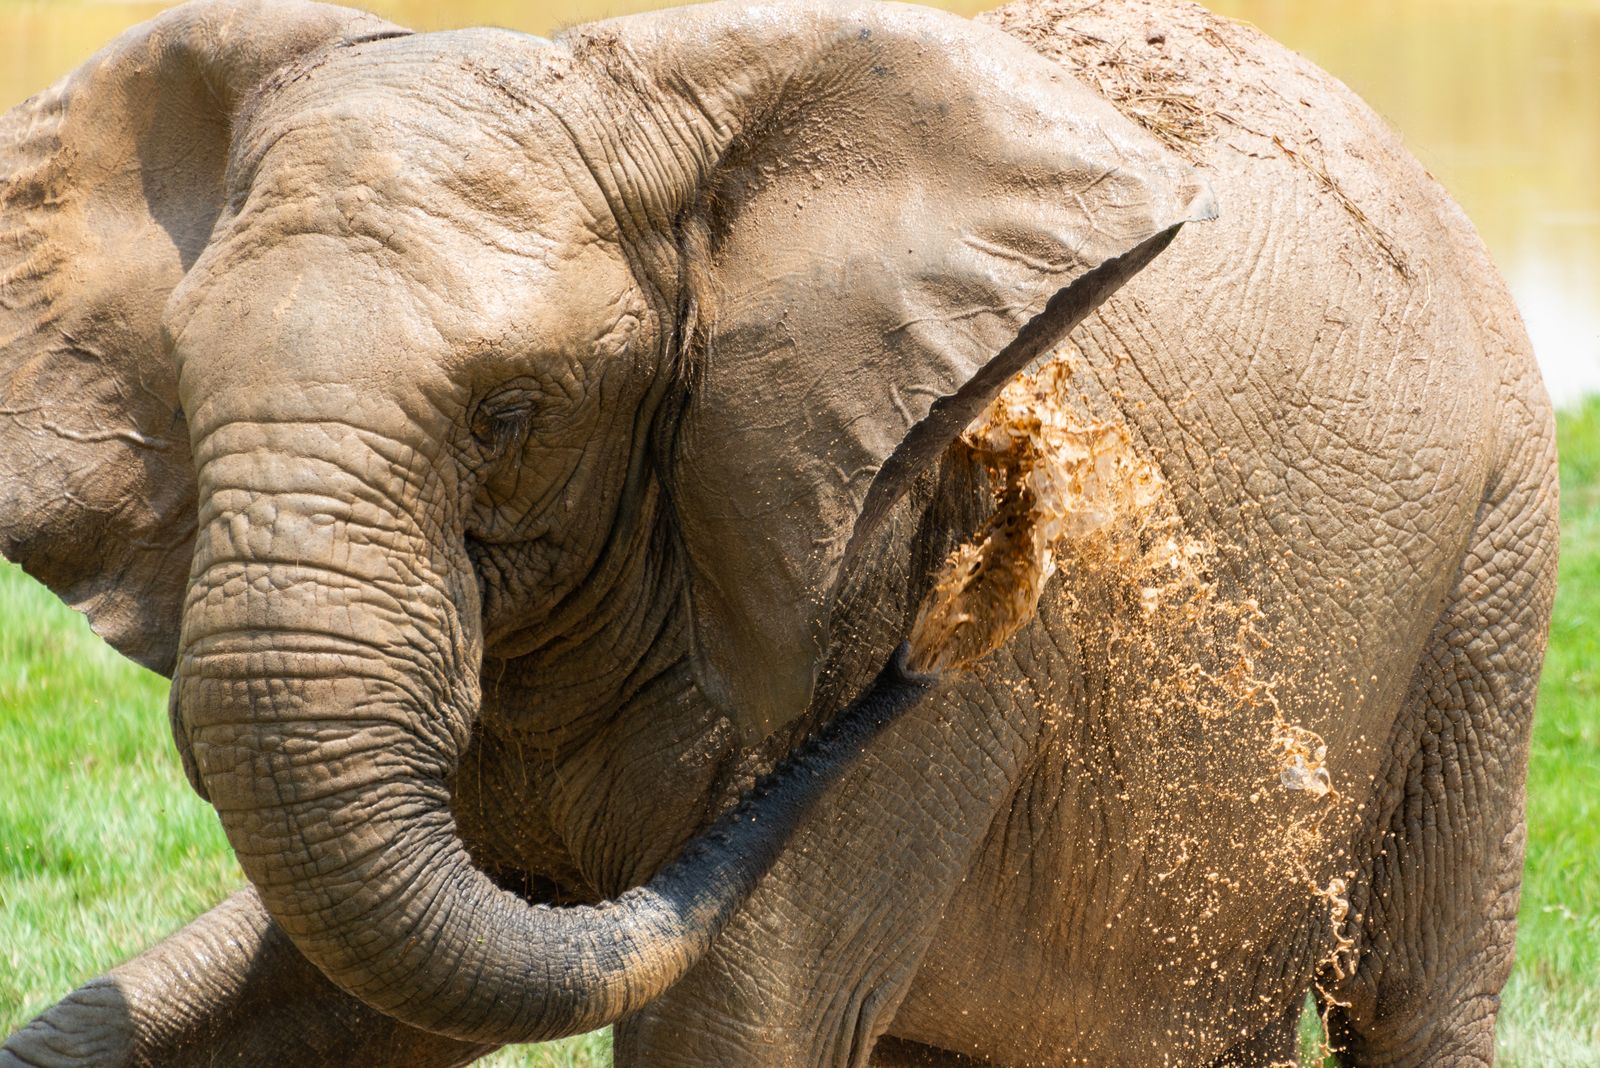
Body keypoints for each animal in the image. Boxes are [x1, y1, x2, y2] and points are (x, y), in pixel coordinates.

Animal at [0, 0, 1557, 1063]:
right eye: (180, 383)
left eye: (512, 411)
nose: (960, 614)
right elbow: (320, 994)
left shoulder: (903, 591)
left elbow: (733, 1029)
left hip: (1493, 561)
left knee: (1413, 989)